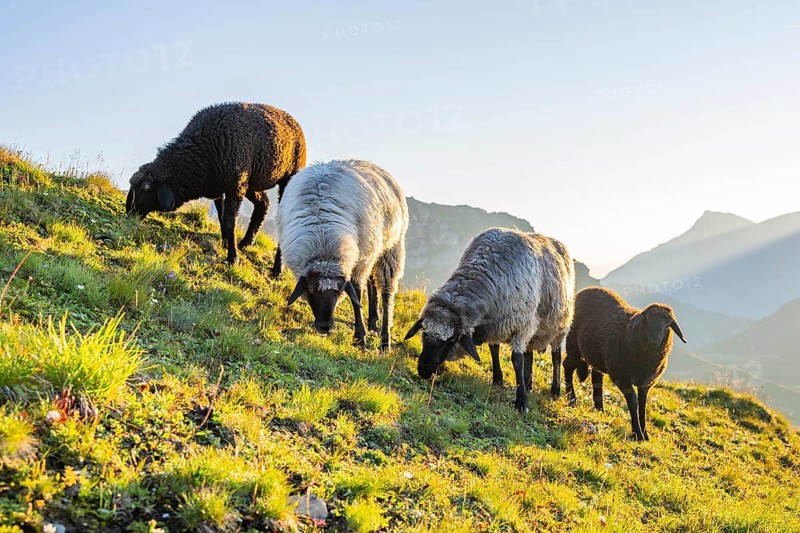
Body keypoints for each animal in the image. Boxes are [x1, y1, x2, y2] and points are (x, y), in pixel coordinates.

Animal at [126, 102, 306, 272]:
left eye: (146, 186)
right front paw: (226, 244)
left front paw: (232, 258)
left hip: (288, 176)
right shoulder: (220, 187)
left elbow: (229, 220)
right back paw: (245, 243)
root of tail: (292, 120)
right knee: (263, 204)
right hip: (251, 181)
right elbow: (221, 217)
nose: (129, 212)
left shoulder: (235, 185)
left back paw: (277, 268)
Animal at [278, 159, 408, 349]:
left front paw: (360, 338)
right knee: (372, 282)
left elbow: (356, 294)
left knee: (387, 291)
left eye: (339, 290)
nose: (325, 327)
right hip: (373, 250)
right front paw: (363, 333)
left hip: (390, 248)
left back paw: (385, 340)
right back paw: (373, 321)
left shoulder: (359, 260)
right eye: (310, 288)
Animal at [404, 228, 575, 413]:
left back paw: (555, 390)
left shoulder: (521, 324)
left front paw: (521, 401)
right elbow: (494, 350)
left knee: (556, 355)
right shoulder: (496, 324)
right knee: (529, 351)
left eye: (451, 340)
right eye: (424, 333)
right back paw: (529, 384)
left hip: (560, 326)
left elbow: (517, 360)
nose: (424, 370)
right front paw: (498, 380)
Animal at [563, 287, 687, 441]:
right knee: (567, 365)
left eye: (668, 324)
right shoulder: (621, 377)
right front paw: (637, 433)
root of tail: (584, 291)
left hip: (597, 355)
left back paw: (600, 408)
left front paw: (645, 434)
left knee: (597, 377)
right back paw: (571, 398)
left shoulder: (646, 382)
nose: (654, 339)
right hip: (573, 345)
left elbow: (643, 405)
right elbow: (633, 402)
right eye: (647, 320)